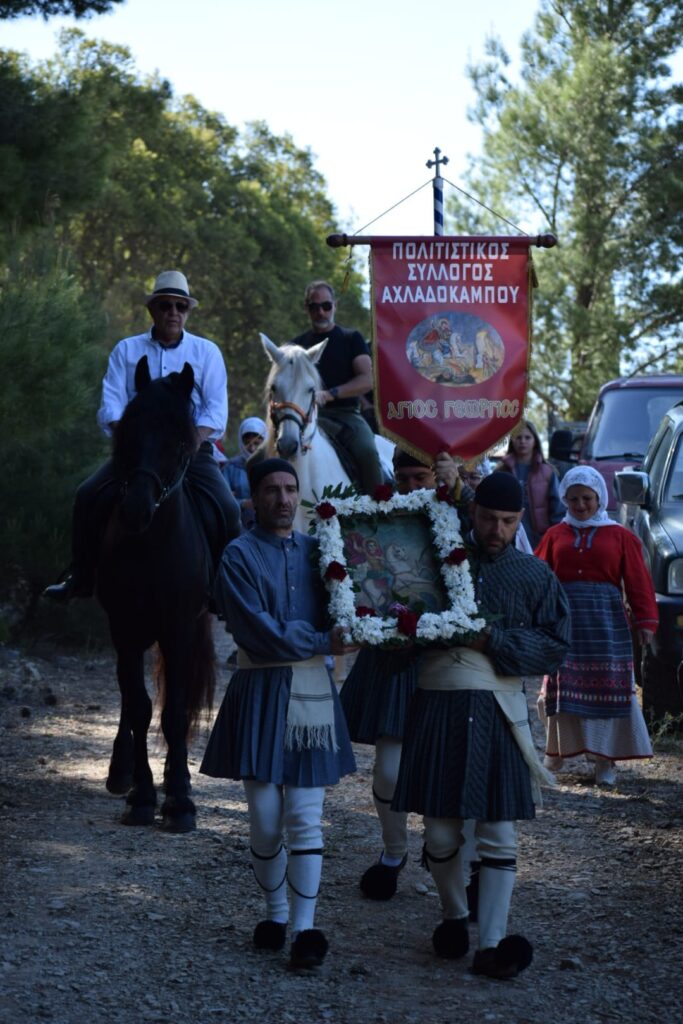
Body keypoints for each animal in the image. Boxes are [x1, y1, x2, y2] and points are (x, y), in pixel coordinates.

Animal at [96, 356, 222, 835]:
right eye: (128, 429)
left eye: (178, 440)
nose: (135, 509)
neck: (150, 547)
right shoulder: (123, 629)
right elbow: (138, 706)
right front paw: (141, 796)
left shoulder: (178, 629)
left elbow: (173, 712)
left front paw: (179, 801)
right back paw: (122, 771)